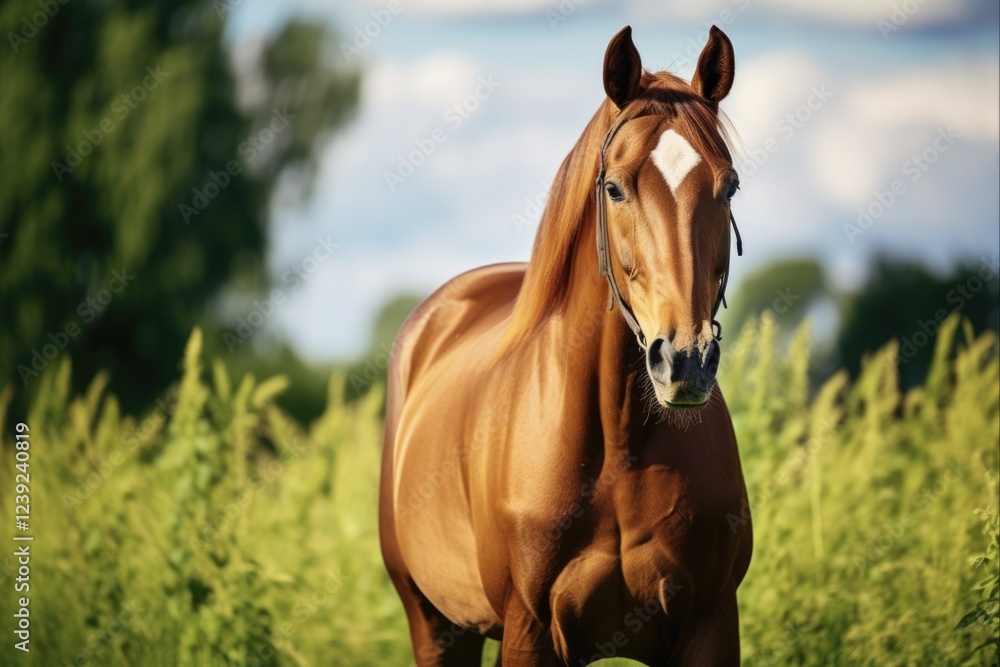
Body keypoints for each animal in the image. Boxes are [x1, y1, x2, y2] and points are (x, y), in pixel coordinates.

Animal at [379, 25, 753, 666]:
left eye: (728, 186)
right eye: (615, 189)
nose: (685, 362)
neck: (620, 444)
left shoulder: (708, 622)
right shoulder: (531, 630)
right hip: (434, 624)